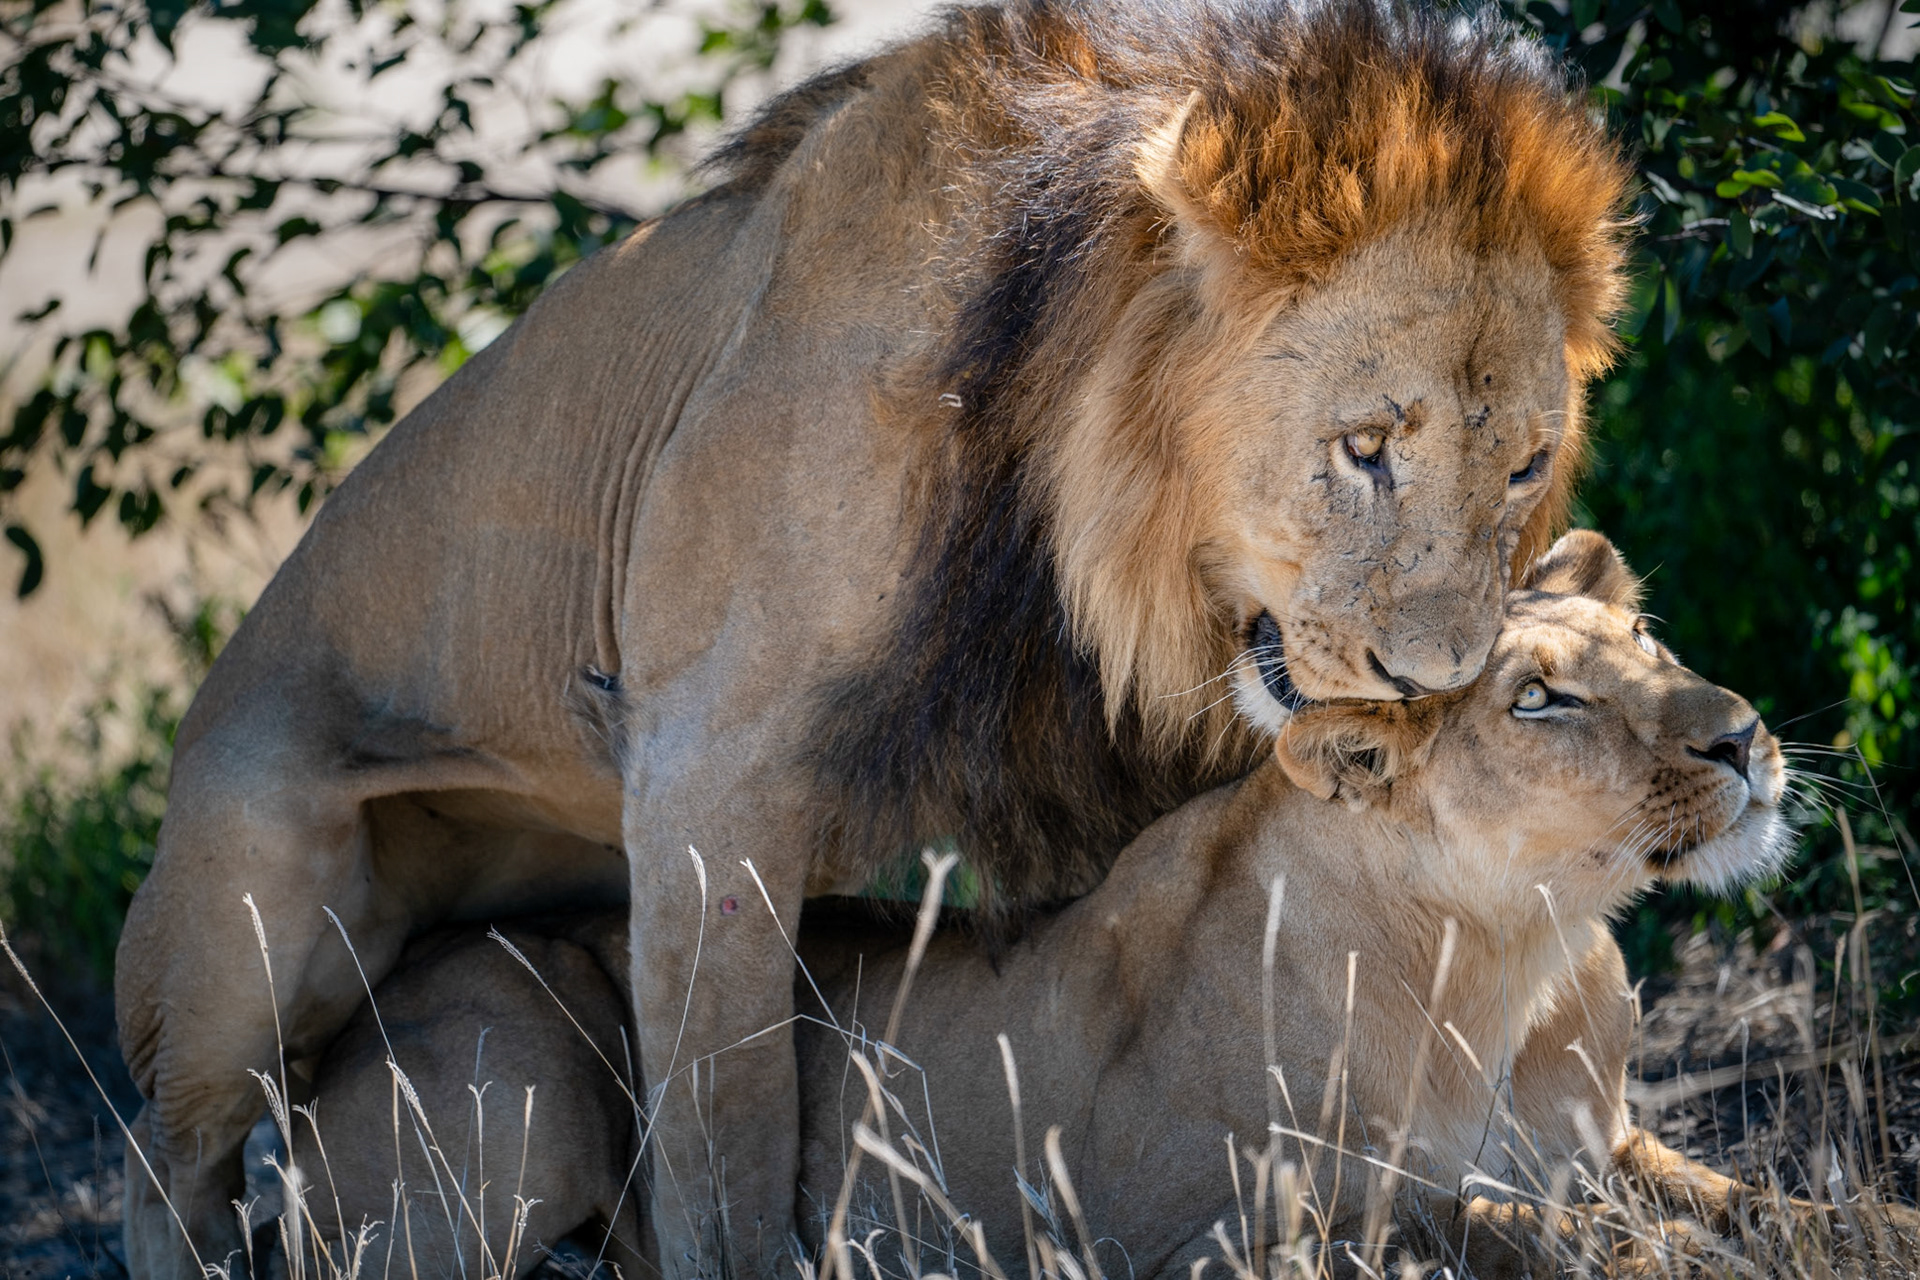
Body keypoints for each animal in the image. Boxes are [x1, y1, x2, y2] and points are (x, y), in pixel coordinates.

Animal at [114, 3, 1633, 1275]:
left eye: (1523, 467)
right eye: (1365, 446)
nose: (1433, 684)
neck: (1078, 536)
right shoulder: (707, 776)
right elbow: (727, 1136)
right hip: (253, 918)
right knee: (167, 1164)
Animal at [289, 533, 1913, 1277]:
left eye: (1650, 640)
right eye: (1542, 700)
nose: (1745, 740)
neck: (1514, 947)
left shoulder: (1613, 1135)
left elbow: (1758, 1192)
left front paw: (1857, 1222)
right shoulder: (1202, 1223)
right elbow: (1500, 1217)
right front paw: (1639, 1256)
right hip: (532, 1052)